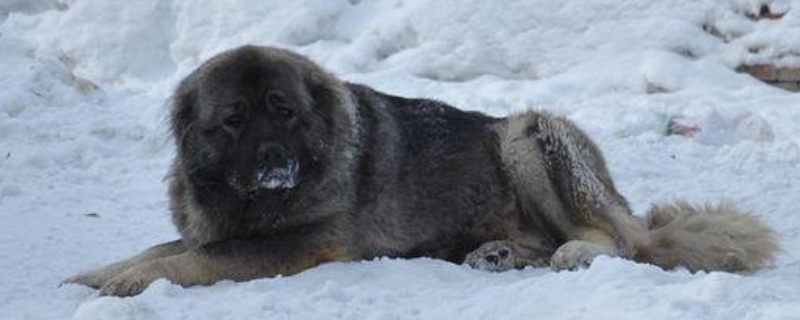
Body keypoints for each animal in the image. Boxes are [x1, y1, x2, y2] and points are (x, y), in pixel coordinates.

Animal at [65, 45, 780, 298]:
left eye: (285, 112)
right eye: (235, 119)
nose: (273, 161)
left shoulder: (294, 245)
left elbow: (186, 260)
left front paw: (127, 283)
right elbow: (159, 247)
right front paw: (100, 272)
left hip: (525, 133)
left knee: (624, 241)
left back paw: (572, 253)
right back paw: (495, 254)